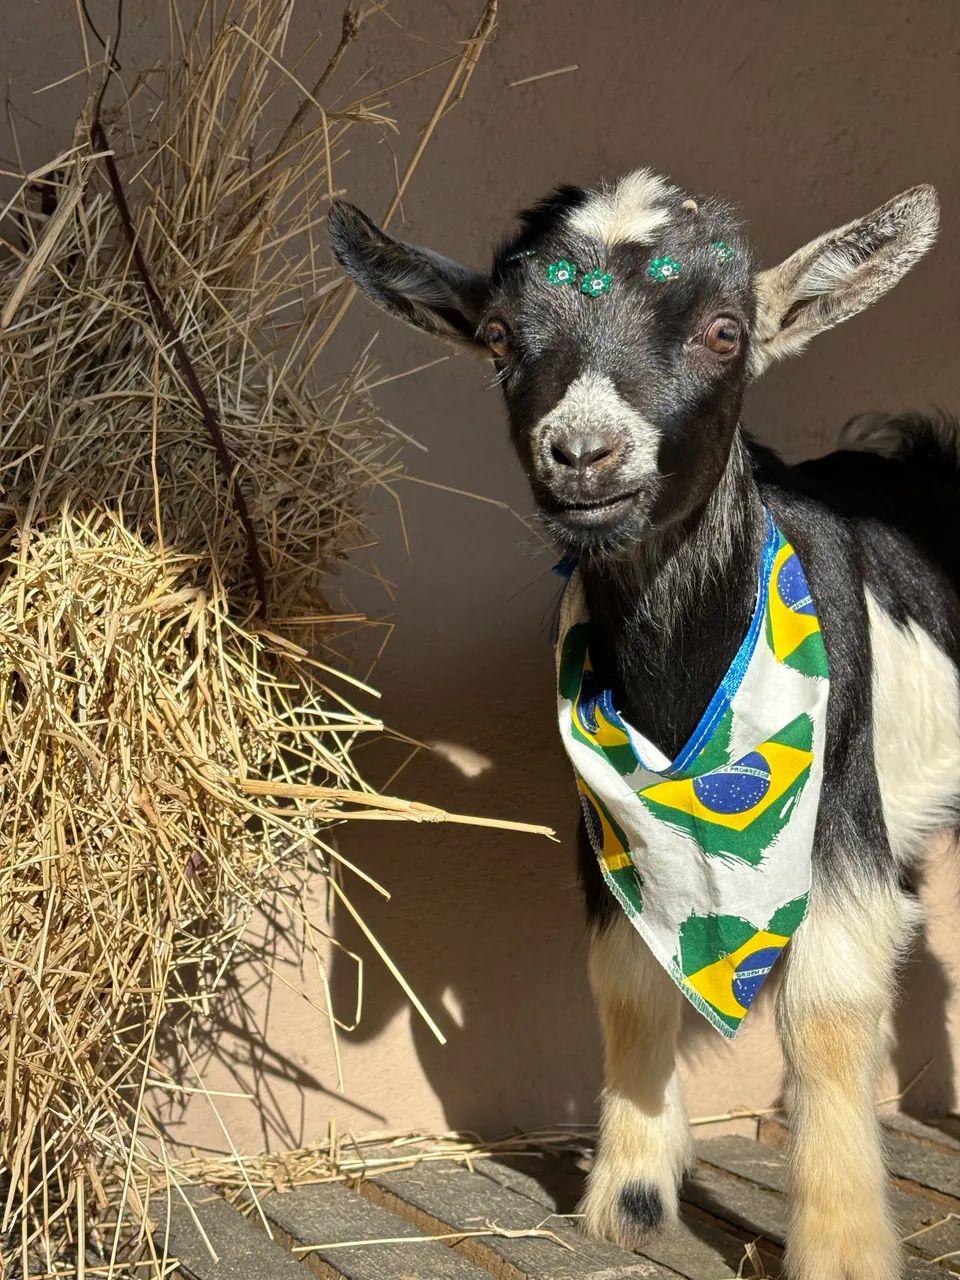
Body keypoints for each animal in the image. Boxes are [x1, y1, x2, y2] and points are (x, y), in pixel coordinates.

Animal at [328, 169, 959, 1280]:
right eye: (499, 335)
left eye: (723, 330)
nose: (583, 454)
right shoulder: (608, 823)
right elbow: (627, 975)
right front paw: (630, 1192)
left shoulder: (838, 798)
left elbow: (828, 1002)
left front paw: (841, 1242)